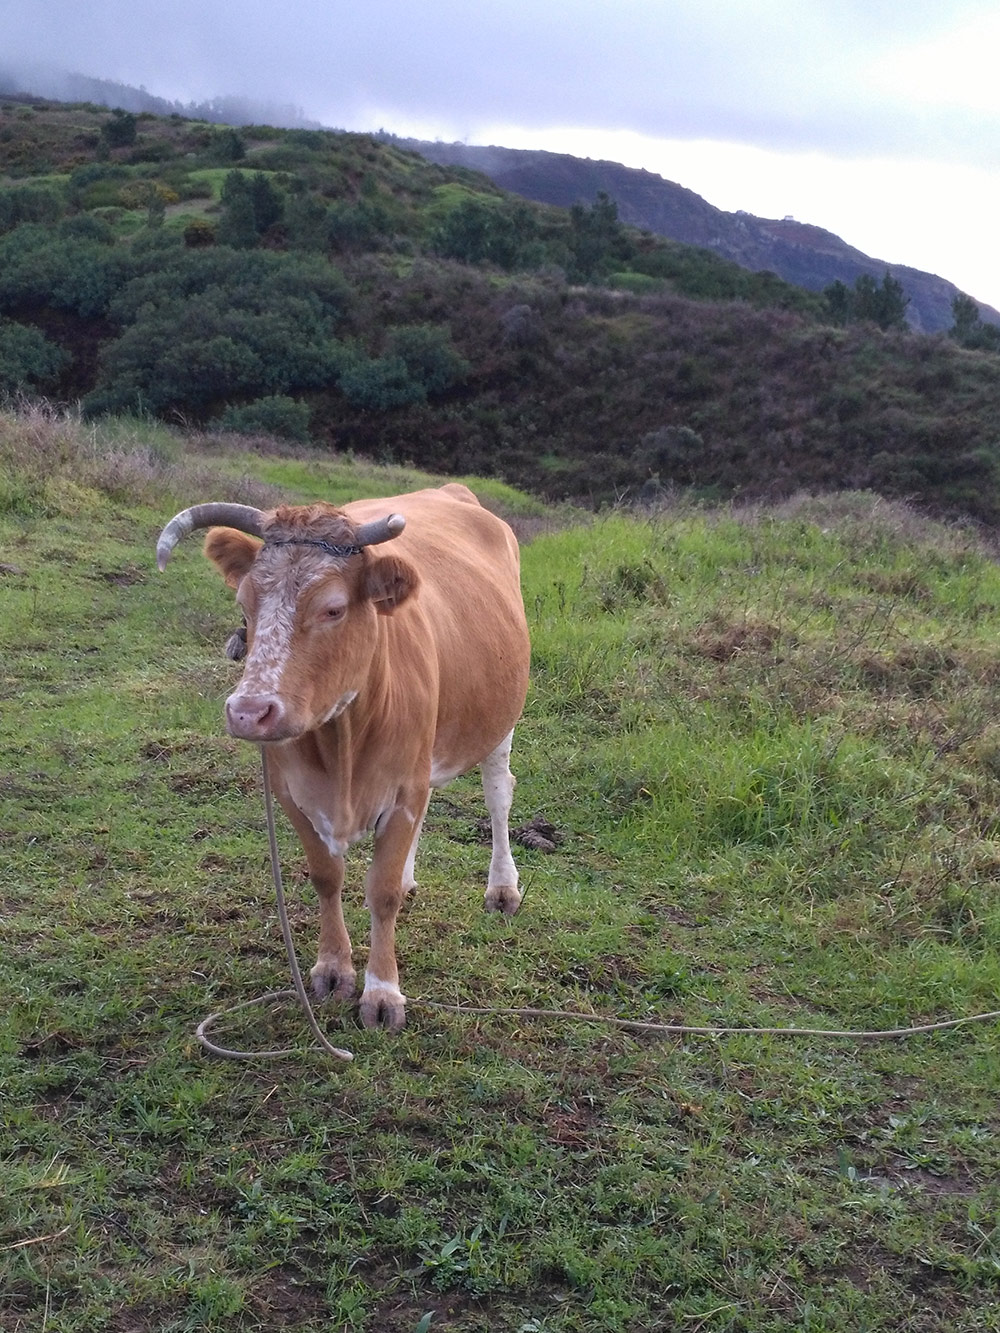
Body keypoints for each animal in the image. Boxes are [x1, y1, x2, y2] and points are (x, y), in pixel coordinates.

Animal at [156, 482, 533, 1029]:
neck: (343, 743)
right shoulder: (291, 792)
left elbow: (382, 891)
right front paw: (333, 969)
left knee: (498, 796)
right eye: (245, 605)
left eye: (333, 609)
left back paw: (502, 888)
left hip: (500, 724)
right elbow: (327, 877)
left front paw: (383, 992)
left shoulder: (402, 790)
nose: (249, 712)